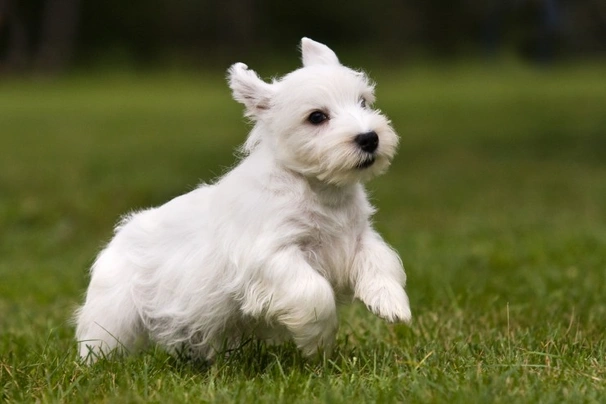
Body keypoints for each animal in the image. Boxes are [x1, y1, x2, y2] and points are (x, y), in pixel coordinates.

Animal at [73, 38, 410, 362]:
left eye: (363, 102)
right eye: (317, 117)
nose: (369, 138)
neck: (319, 189)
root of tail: (120, 232)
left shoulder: (358, 236)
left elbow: (381, 261)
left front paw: (391, 304)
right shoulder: (272, 256)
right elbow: (314, 292)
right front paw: (319, 343)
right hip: (114, 313)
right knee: (99, 340)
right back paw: (95, 366)